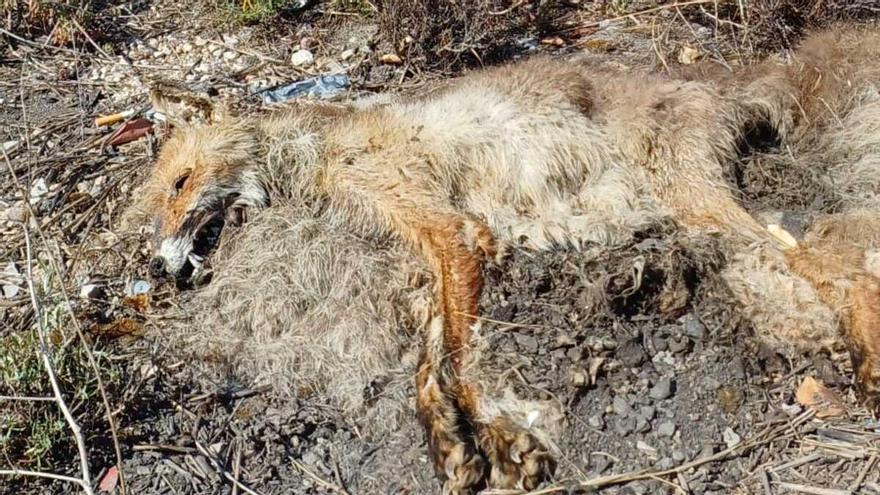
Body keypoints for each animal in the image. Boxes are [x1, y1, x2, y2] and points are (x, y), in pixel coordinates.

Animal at [139, 24, 880, 495]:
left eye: (179, 185)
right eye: (159, 198)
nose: (158, 268)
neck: (318, 151)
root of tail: (715, 81)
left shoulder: (452, 231)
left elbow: (465, 365)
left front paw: (497, 440)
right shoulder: (440, 247)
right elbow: (429, 368)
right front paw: (450, 443)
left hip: (690, 196)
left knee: (825, 256)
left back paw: (868, 360)